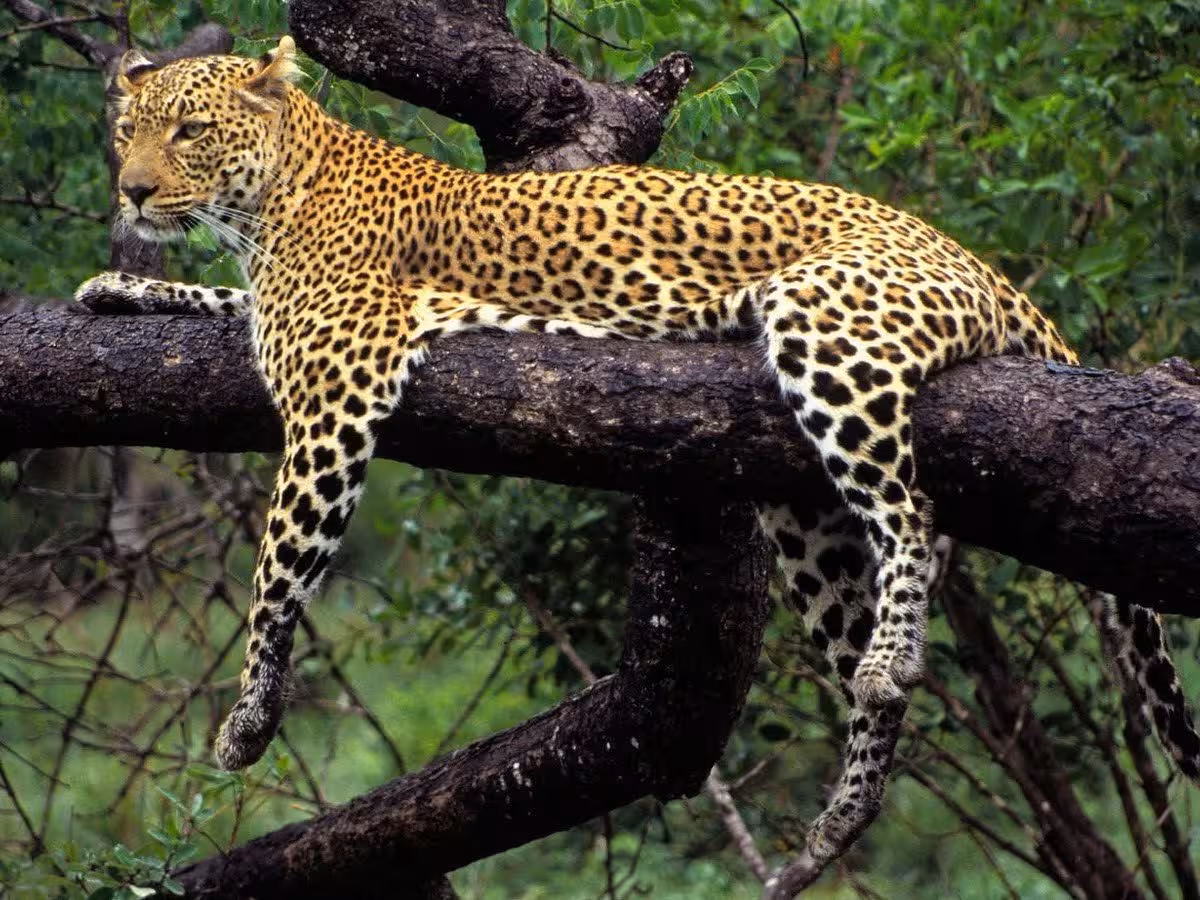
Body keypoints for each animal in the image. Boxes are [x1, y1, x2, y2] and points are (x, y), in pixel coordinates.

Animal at [75, 37, 1200, 893]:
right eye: (128, 132)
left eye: (190, 130)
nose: (132, 191)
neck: (270, 199)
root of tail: (978, 262)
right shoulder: (287, 325)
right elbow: (219, 308)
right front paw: (118, 289)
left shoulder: (335, 389)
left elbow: (275, 575)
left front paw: (247, 720)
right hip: (802, 510)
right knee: (869, 659)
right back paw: (845, 809)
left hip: (827, 328)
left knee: (911, 515)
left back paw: (887, 663)